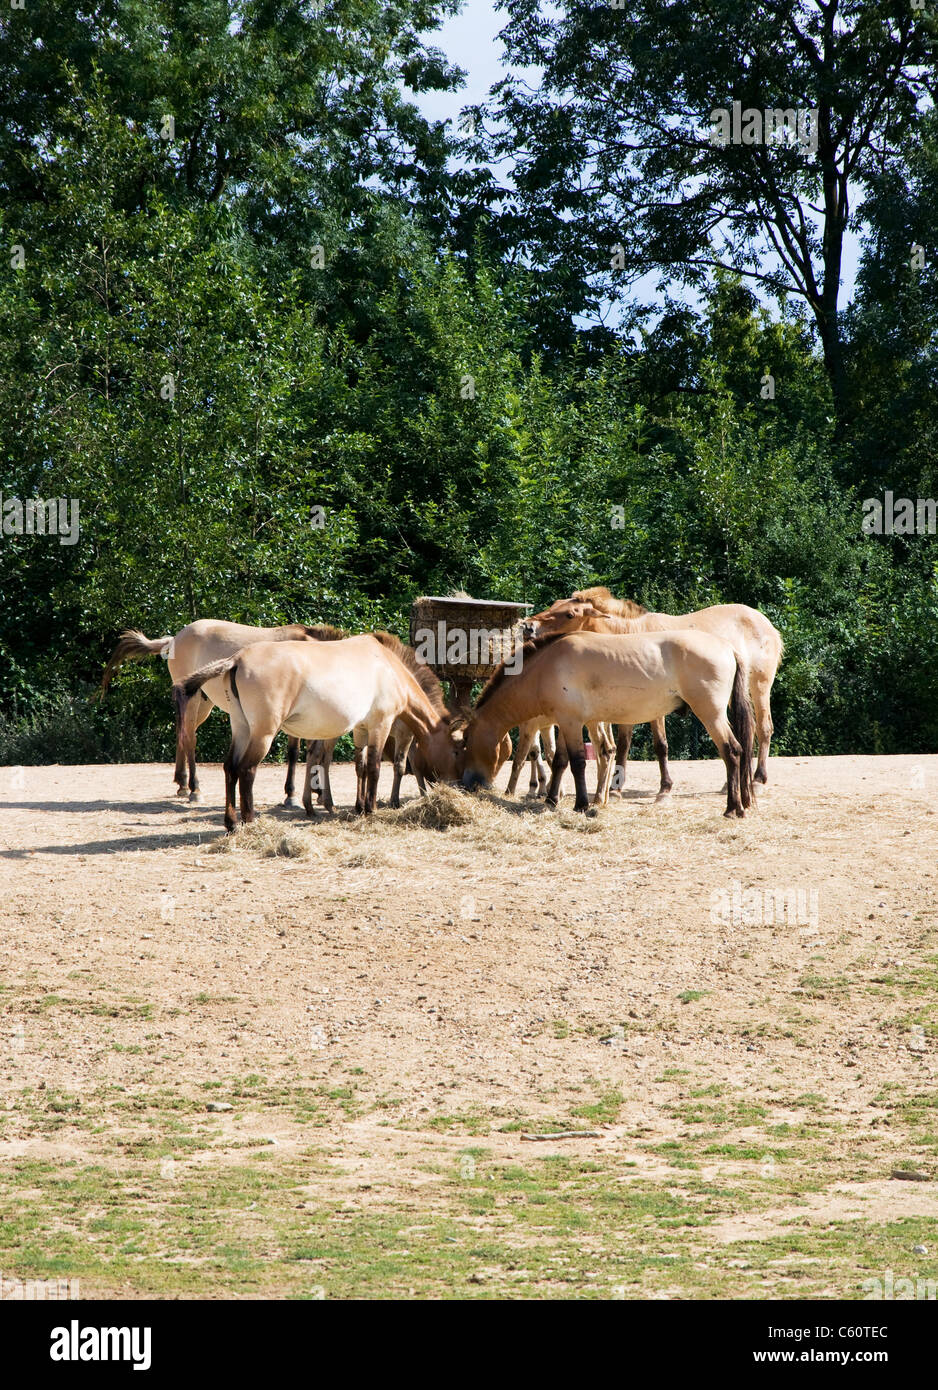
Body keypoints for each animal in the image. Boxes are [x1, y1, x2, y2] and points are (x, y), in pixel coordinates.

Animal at [97, 622, 344, 806]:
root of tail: (174, 639)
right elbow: (295, 753)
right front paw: (292, 795)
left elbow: (314, 751)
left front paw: (315, 793)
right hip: (193, 699)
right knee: (189, 738)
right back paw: (195, 790)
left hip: (202, 704)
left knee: (182, 732)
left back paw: (182, 784)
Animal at [174, 636, 461, 828]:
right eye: (457, 749)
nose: (459, 783)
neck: (388, 667)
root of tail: (237, 659)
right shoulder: (381, 724)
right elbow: (374, 768)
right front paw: (371, 809)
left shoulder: (361, 729)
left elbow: (361, 766)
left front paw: (360, 807)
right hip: (263, 733)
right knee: (246, 770)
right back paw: (249, 819)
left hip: (242, 728)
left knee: (230, 768)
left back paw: (232, 822)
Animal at [461, 631, 755, 811]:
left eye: (464, 743)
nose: (467, 784)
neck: (546, 666)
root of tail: (728, 648)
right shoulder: (565, 722)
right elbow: (560, 762)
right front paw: (552, 800)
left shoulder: (571, 722)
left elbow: (577, 763)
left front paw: (581, 804)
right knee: (741, 750)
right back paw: (744, 803)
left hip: (711, 714)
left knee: (731, 751)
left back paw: (732, 808)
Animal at [525, 589, 783, 795]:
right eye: (556, 603)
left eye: (570, 614)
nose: (528, 626)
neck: (629, 633)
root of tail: (767, 624)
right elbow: (624, 743)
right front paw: (616, 788)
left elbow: (659, 744)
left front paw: (664, 786)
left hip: (759, 687)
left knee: (763, 728)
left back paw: (758, 779)